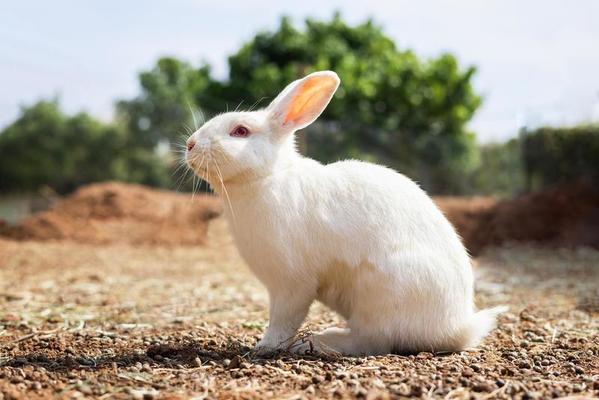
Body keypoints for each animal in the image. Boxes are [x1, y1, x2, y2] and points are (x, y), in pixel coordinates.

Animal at [185, 70, 504, 354]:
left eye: (240, 131)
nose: (190, 144)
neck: (268, 177)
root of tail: (458, 328)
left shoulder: (290, 284)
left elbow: (284, 319)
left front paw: (265, 346)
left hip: (378, 293)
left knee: (372, 342)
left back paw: (317, 342)